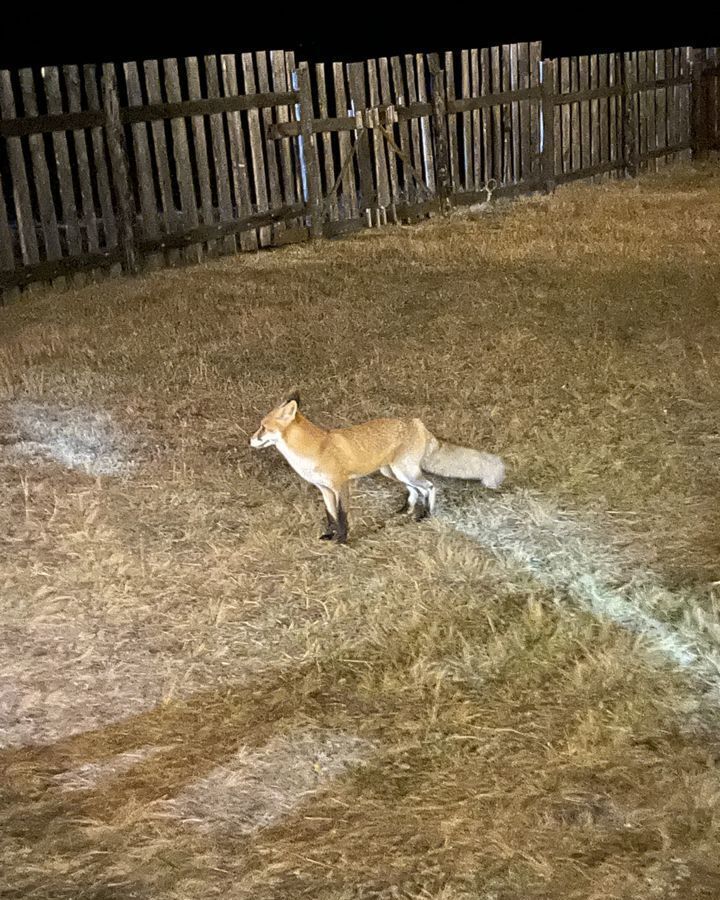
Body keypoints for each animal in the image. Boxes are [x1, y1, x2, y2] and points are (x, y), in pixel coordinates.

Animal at [250, 392, 504, 544]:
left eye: (263, 427)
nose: (250, 440)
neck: (316, 448)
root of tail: (417, 423)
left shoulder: (341, 486)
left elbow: (342, 516)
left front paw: (343, 540)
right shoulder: (325, 490)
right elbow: (330, 515)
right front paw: (329, 535)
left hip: (403, 471)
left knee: (429, 486)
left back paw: (427, 515)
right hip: (392, 471)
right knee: (415, 490)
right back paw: (407, 510)